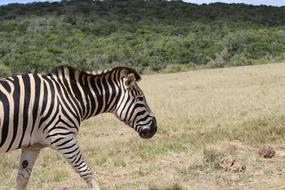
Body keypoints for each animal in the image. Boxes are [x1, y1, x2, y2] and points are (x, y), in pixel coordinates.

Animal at [0, 65, 156, 189]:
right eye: (140, 98)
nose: (155, 128)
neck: (72, 97)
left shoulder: (32, 146)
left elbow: (22, 179)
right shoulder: (63, 137)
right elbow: (85, 171)